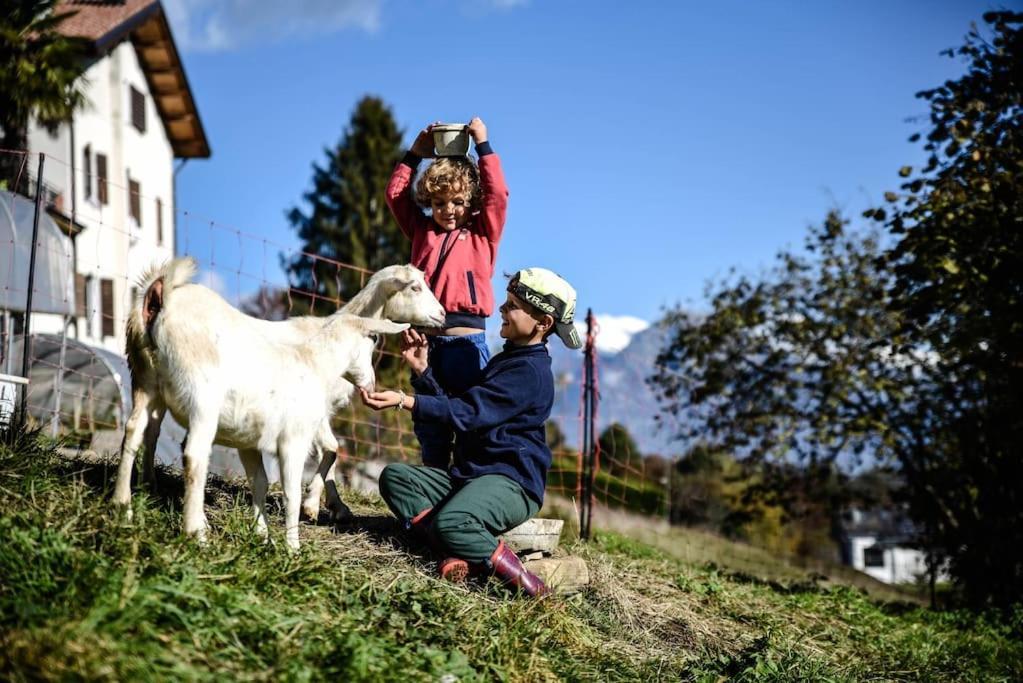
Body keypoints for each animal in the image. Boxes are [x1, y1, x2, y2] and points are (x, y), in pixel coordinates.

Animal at [115, 257, 443, 548]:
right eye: (415, 287)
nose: (442, 315)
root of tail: (160, 294)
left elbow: (330, 451)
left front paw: (331, 506)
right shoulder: (311, 414)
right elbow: (331, 449)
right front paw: (313, 504)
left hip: (146, 378)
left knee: (140, 430)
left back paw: (133, 497)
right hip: (201, 392)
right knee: (190, 450)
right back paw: (195, 527)